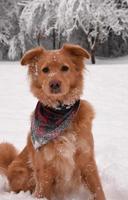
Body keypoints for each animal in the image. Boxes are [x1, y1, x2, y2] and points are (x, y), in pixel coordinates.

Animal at [0, 44, 105, 200]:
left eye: (65, 68)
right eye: (45, 70)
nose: (54, 83)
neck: (59, 113)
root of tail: (9, 166)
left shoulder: (87, 161)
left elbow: (98, 190)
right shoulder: (45, 169)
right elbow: (42, 193)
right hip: (24, 173)